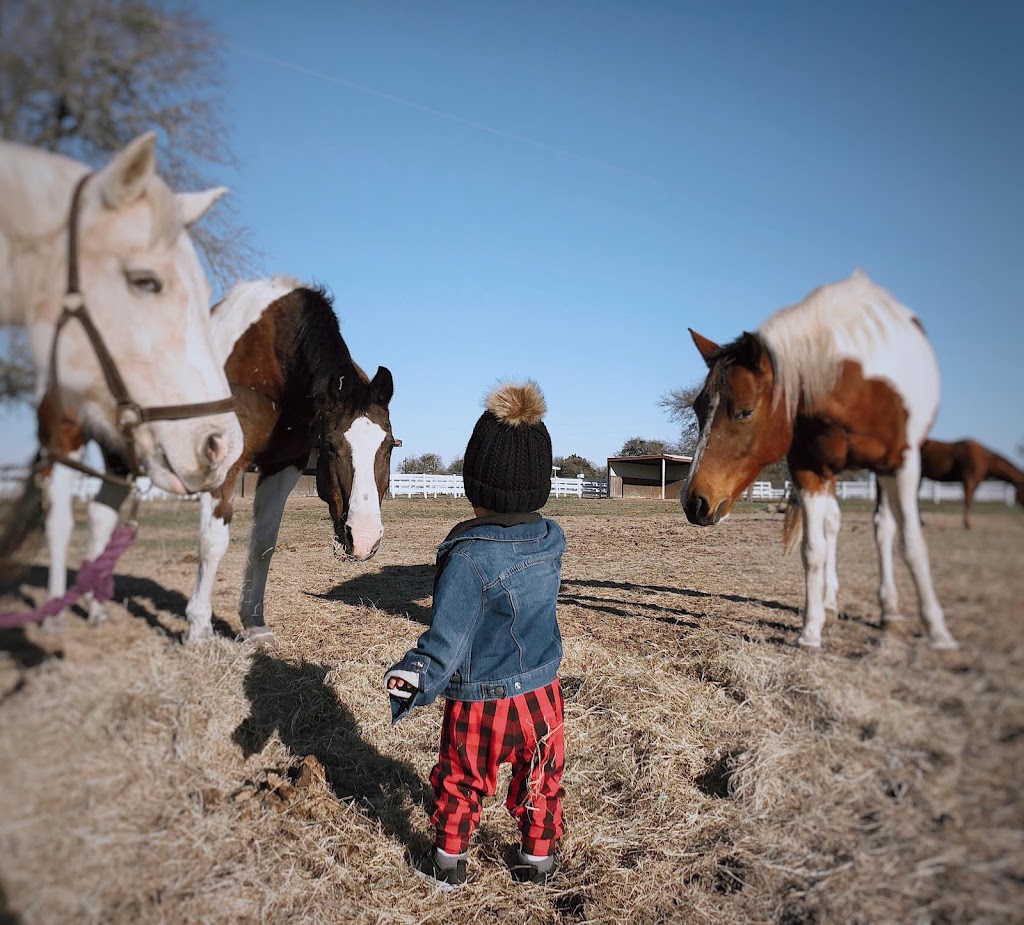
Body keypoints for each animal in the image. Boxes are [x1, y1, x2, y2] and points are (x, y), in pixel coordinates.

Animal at [184, 276, 395, 643]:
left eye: (388, 447)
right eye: (330, 446)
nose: (365, 539)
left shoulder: (283, 466)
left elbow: (263, 543)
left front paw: (254, 624)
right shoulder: (226, 466)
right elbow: (213, 542)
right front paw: (199, 630)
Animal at [679, 270, 958, 651]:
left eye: (745, 412)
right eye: (696, 408)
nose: (694, 502)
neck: (856, 386)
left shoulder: (901, 465)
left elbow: (912, 544)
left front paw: (938, 632)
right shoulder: (808, 469)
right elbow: (813, 549)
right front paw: (811, 630)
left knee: (884, 529)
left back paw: (890, 611)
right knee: (833, 526)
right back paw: (829, 602)